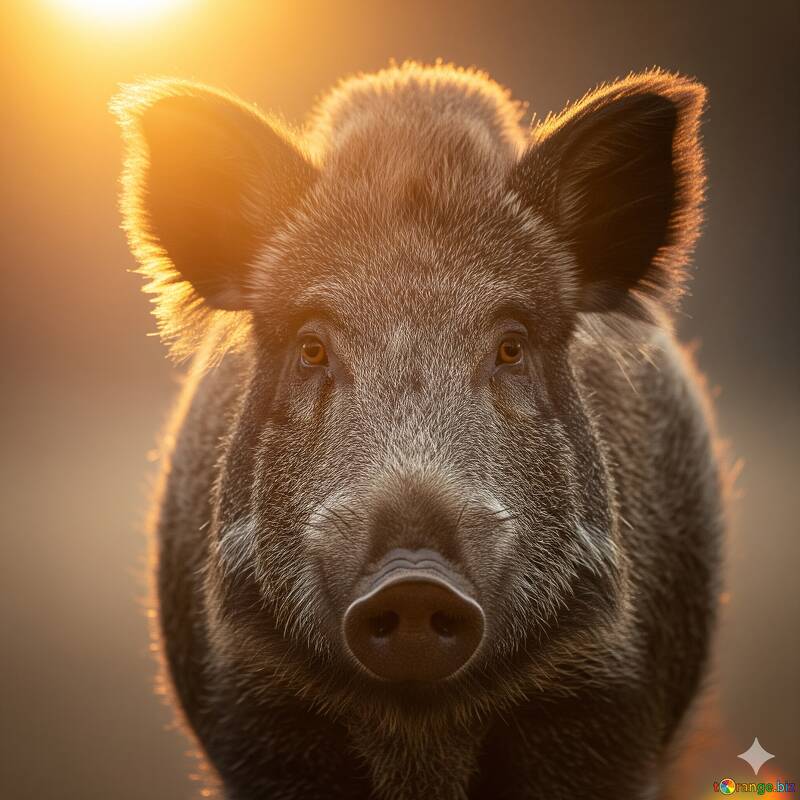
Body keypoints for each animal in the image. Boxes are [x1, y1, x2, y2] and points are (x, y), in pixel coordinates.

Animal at [112, 62, 725, 800]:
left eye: (511, 347)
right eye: (311, 348)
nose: (413, 580)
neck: (419, 734)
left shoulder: (600, 697)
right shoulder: (258, 703)